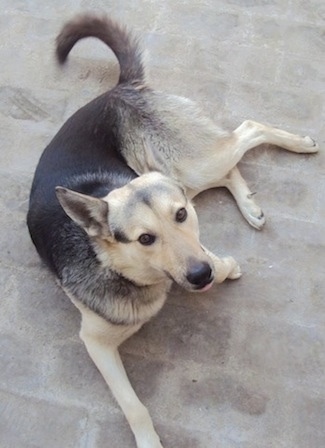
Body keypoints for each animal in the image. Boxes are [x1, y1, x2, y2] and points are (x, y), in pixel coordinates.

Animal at [26, 14, 318, 448]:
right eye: (145, 239)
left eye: (180, 216)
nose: (202, 276)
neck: (114, 266)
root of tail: (118, 89)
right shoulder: (96, 343)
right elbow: (134, 406)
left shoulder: (191, 234)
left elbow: (208, 250)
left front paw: (223, 265)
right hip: (182, 173)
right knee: (230, 165)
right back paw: (249, 205)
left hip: (189, 166)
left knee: (247, 130)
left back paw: (298, 143)